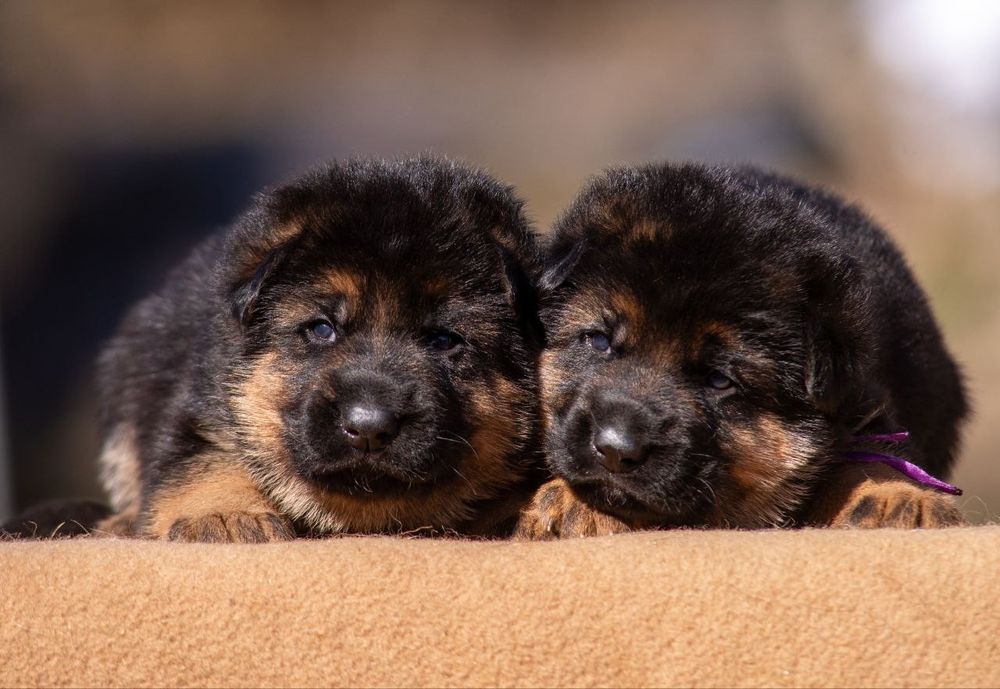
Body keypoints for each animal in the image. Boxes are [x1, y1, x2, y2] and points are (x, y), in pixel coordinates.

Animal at [88, 156, 544, 542]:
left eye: (445, 340)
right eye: (322, 329)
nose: (368, 427)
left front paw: (549, 504)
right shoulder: (204, 406)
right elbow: (208, 459)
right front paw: (225, 514)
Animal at [516, 163, 968, 538]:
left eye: (719, 379)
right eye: (599, 341)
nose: (615, 449)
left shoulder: (864, 407)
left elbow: (869, 456)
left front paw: (899, 497)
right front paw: (569, 501)